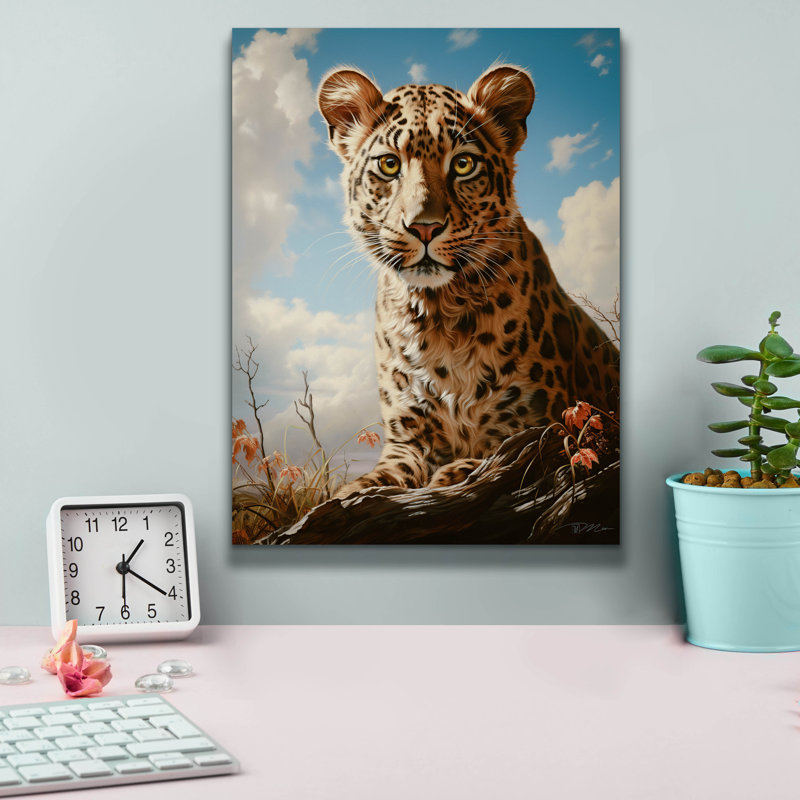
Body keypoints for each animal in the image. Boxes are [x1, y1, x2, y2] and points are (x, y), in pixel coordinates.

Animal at [317, 63, 619, 497]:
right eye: (389, 165)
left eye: (463, 165)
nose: (424, 227)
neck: (438, 317)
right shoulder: (406, 440)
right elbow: (377, 478)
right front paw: (351, 494)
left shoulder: (535, 428)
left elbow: (489, 459)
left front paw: (454, 475)